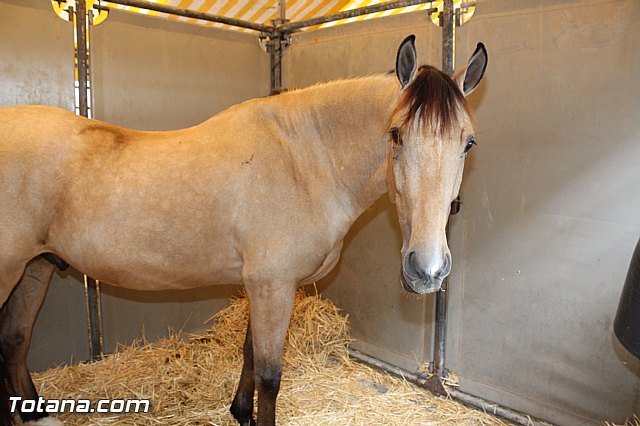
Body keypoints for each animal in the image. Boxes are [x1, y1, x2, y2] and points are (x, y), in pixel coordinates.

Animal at [0, 35, 487, 426]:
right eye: (396, 134)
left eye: (468, 142)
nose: (427, 270)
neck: (302, 162)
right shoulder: (273, 285)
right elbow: (270, 375)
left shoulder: (261, 285)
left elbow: (250, 354)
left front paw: (239, 411)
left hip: (35, 269)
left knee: (14, 340)